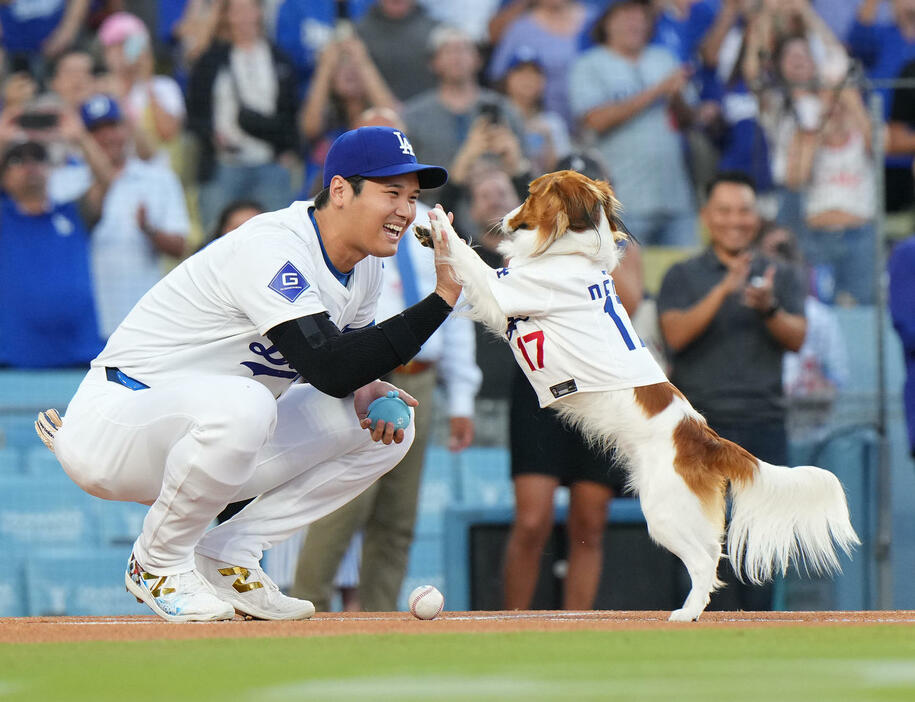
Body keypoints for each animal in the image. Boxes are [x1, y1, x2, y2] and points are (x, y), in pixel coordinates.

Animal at [426, 173, 864, 624]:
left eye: (530, 194)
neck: (571, 251)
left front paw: (438, 223)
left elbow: (470, 259)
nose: (504, 218)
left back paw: (687, 613)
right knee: (712, 554)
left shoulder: (504, 293)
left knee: (705, 561)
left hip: (663, 512)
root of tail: (706, 439)